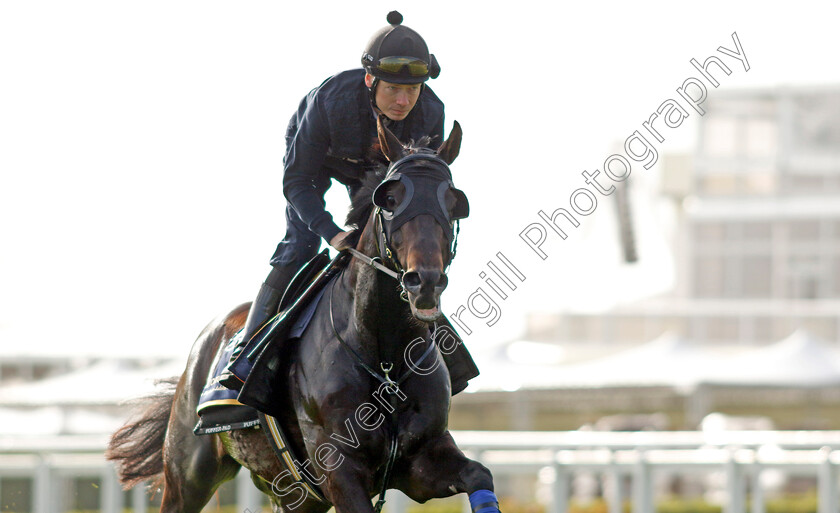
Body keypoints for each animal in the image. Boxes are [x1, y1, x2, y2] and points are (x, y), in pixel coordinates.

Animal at [106, 117, 498, 512]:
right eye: (390, 200)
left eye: (454, 202)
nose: (426, 281)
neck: (384, 358)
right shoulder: (338, 466)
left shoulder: (421, 457)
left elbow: (478, 474)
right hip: (189, 474)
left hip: (295, 494)